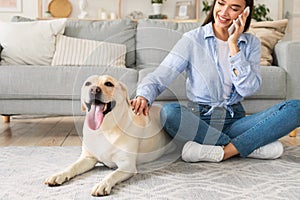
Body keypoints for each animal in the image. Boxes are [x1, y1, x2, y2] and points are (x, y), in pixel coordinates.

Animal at [44, 74, 176, 195]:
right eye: (88, 84)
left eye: (108, 84)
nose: (94, 89)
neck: (104, 129)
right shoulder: (88, 158)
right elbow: (72, 166)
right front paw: (59, 175)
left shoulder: (127, 165)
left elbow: (113, 174)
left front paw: (102, 184)